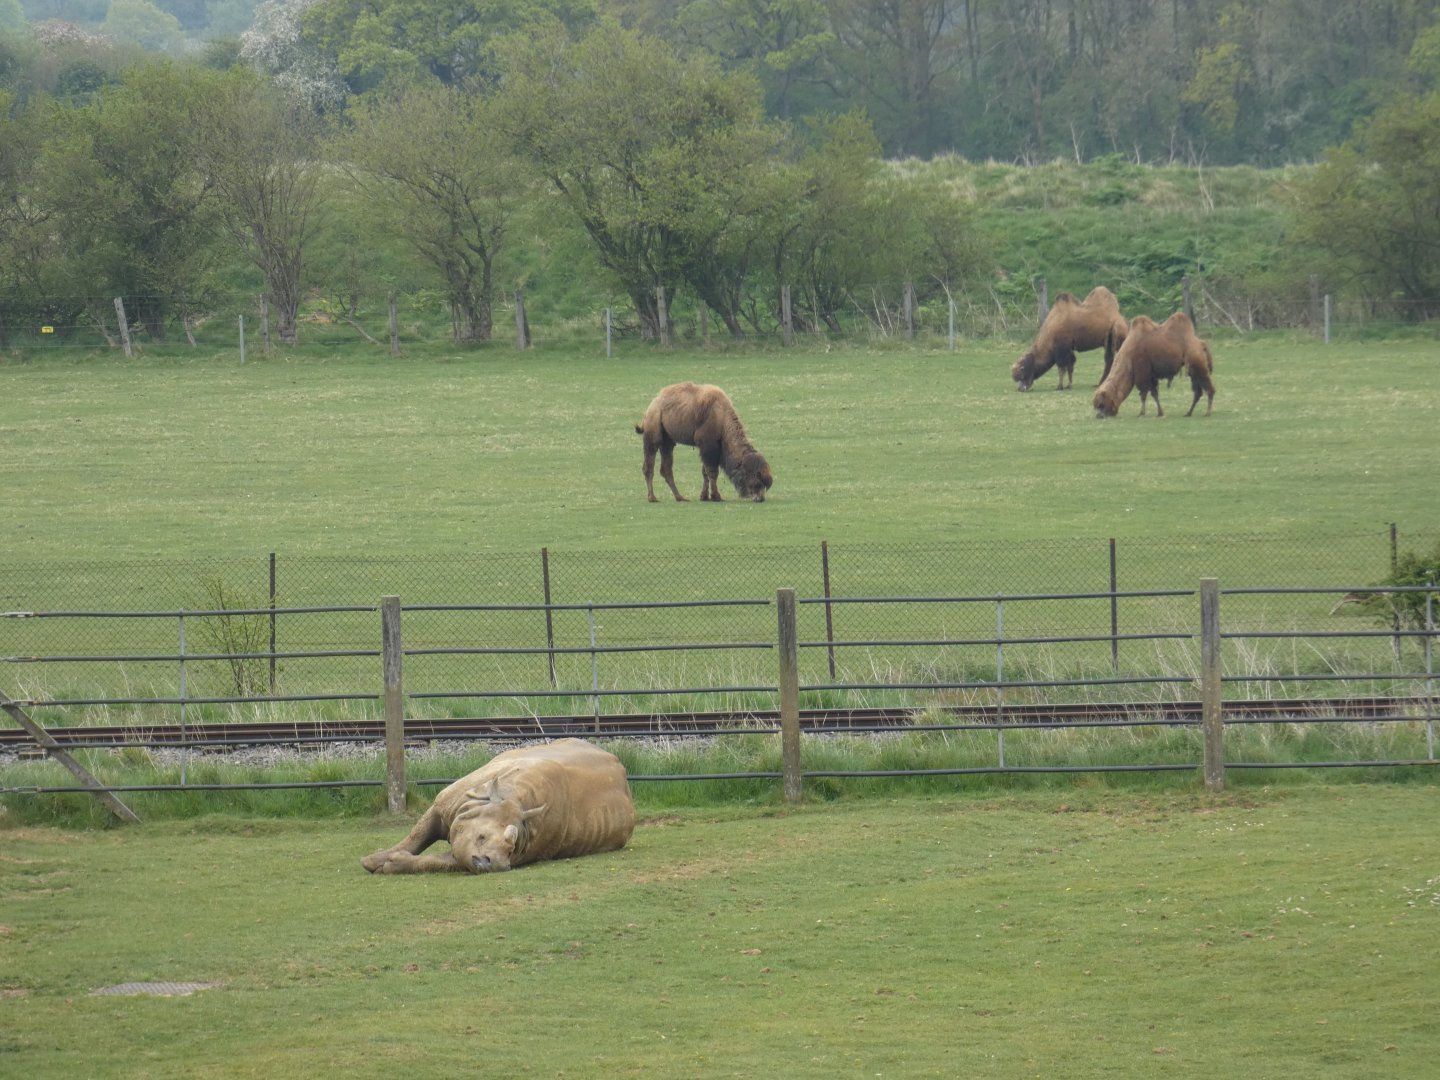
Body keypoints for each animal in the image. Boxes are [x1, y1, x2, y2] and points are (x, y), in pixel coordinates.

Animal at [635, 382, 772, 502]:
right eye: (757, 478)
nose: (760, 499)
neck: (721, 418)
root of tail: (651, 407)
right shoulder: (708, 445)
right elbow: (712, 472)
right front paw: (716, 496)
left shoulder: (709, 447)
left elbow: (705, 471)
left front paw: (704, 496)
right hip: (653, 431)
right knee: (649, 464)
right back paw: (652, 498)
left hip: (668, 440)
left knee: (666, 467)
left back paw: (680, 497)